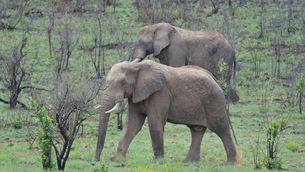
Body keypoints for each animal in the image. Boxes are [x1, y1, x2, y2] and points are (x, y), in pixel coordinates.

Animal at [95, 60, 238, 164]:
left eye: (123, 83)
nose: (96, 160)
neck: (136, 65)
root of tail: (214, 79)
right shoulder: (136, 93)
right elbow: (132, 125)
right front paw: (116, 159)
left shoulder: (160, 92)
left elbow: (155, 122)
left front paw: (157, 162)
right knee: (197, 130)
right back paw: (188, 163)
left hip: (214, 102)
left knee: (221, 129)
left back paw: (230, 164)